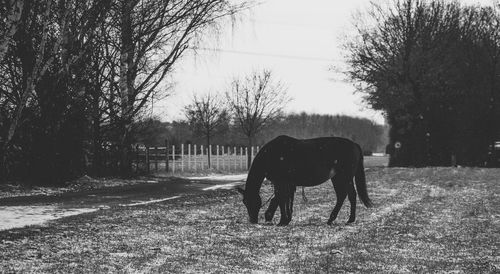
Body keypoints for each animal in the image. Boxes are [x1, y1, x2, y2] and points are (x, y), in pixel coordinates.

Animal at [236, 135, 374, 227]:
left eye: (249, 201)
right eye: (244, 202)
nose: (253, 220)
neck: (271, 154)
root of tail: (355, 145)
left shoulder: (280, 182)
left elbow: (280, 198)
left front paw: (281, 220)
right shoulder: (288, 183)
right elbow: (285, 199)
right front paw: (285, 218)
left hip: (344, 177)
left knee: (348, 195)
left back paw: (344, 219)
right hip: (338, 178)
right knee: (345, 195)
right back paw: (340, 219)